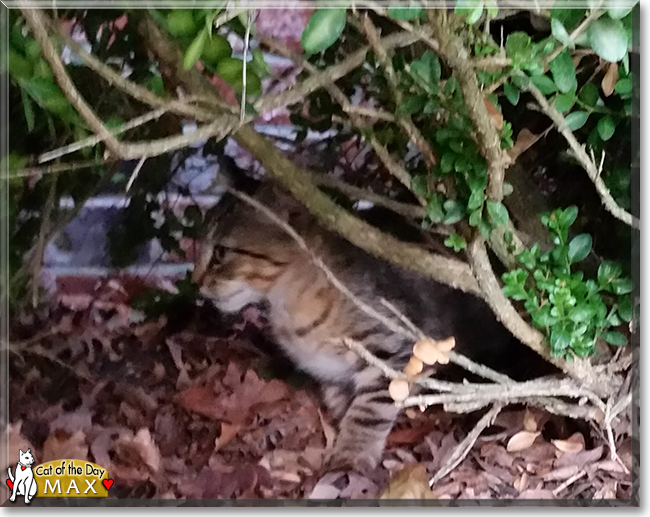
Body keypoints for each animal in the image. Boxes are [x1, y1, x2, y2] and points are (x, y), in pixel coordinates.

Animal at [194, 182, 552, 472]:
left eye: (221, 252)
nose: (195, 281)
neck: (289, 304)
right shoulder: (331, 374)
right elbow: (341, 402)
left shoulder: (397, 351)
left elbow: (369, 410)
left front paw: (351, 454)